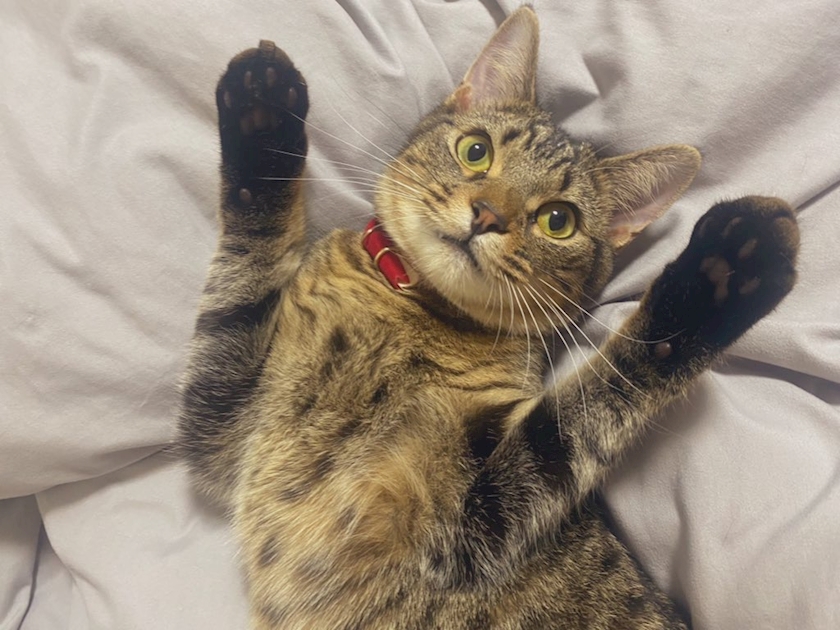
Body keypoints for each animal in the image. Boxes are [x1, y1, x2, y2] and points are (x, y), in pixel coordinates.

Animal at [179, 7, 799, 629]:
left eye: (558, 220)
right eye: (476, 150)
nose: (486, 215)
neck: (412, 307)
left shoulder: (467, 537)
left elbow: (589, 403)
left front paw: (718, 275)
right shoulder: (221, 428)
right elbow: (247, 260)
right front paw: (261, 114)